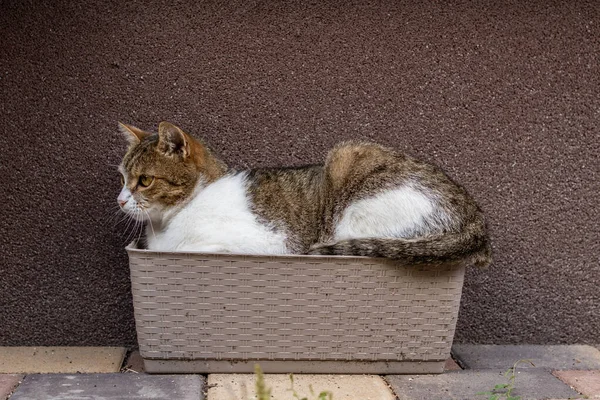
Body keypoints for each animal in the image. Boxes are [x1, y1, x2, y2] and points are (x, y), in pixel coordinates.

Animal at [117, 120, 492, 268]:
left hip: (346, 165)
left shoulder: (269, 242)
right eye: (122, 177)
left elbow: (205, 247)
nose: (119, 199)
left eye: (145, 180)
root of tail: (476, 218)